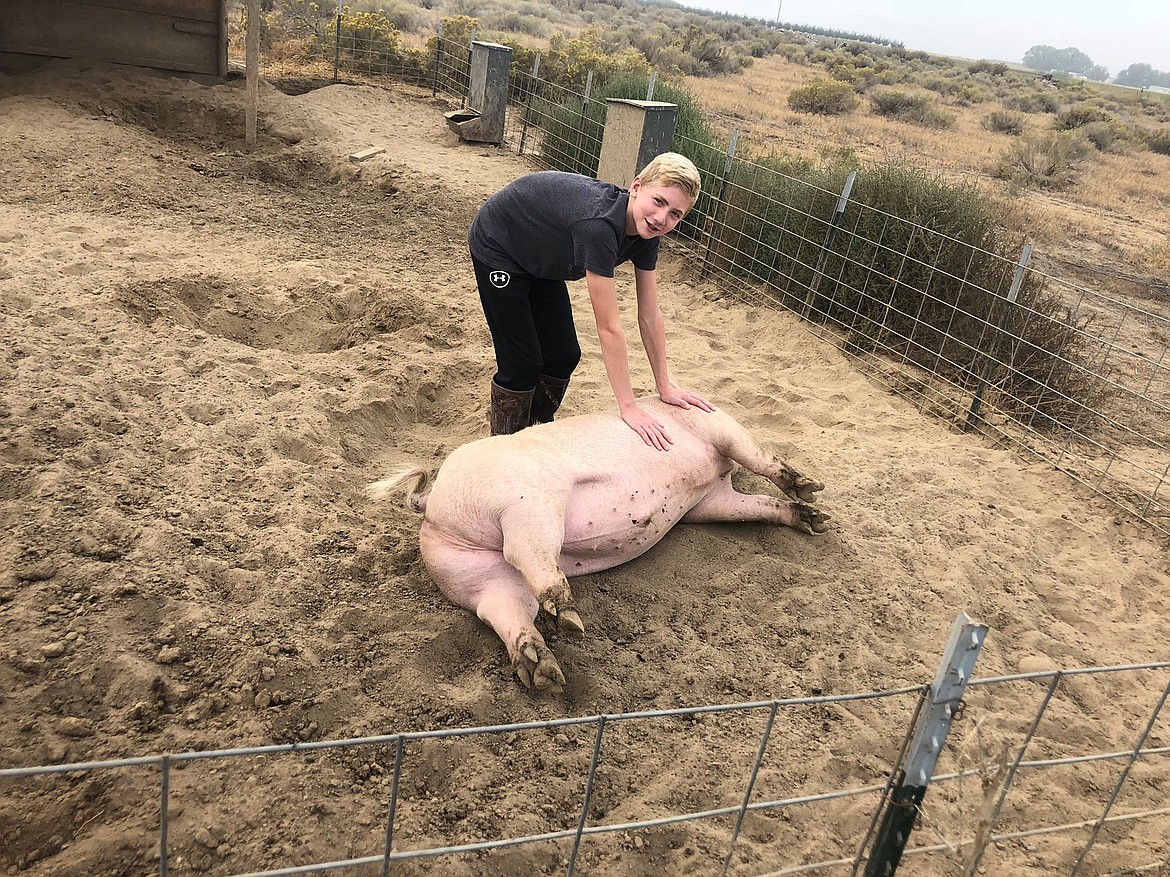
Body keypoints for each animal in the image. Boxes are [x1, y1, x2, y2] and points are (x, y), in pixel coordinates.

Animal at [369, 397, 828, 692]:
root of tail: (432, 503)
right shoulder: (718, 432)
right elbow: (761, 458)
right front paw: (813, 490)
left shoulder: (711, 499)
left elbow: (758, 499)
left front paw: (817, 519)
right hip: (528, 500)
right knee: (528, 554)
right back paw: (571, 618)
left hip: (472, 570)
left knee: (504, 608)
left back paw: (544, 670)